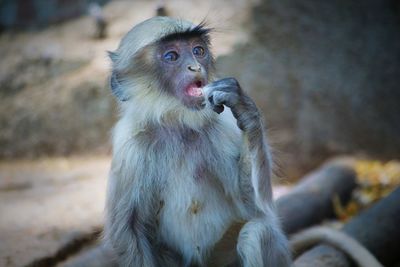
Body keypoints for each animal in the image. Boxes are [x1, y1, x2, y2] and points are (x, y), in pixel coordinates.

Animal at [104, 17, 290, 267]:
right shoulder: (130, 148)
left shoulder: (220, 126)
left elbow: (256, 209)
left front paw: (244, 108)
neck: (176, 125)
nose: (195, 67)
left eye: (198, 51)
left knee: (256, 232)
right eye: (171, 56)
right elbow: (128, 230)